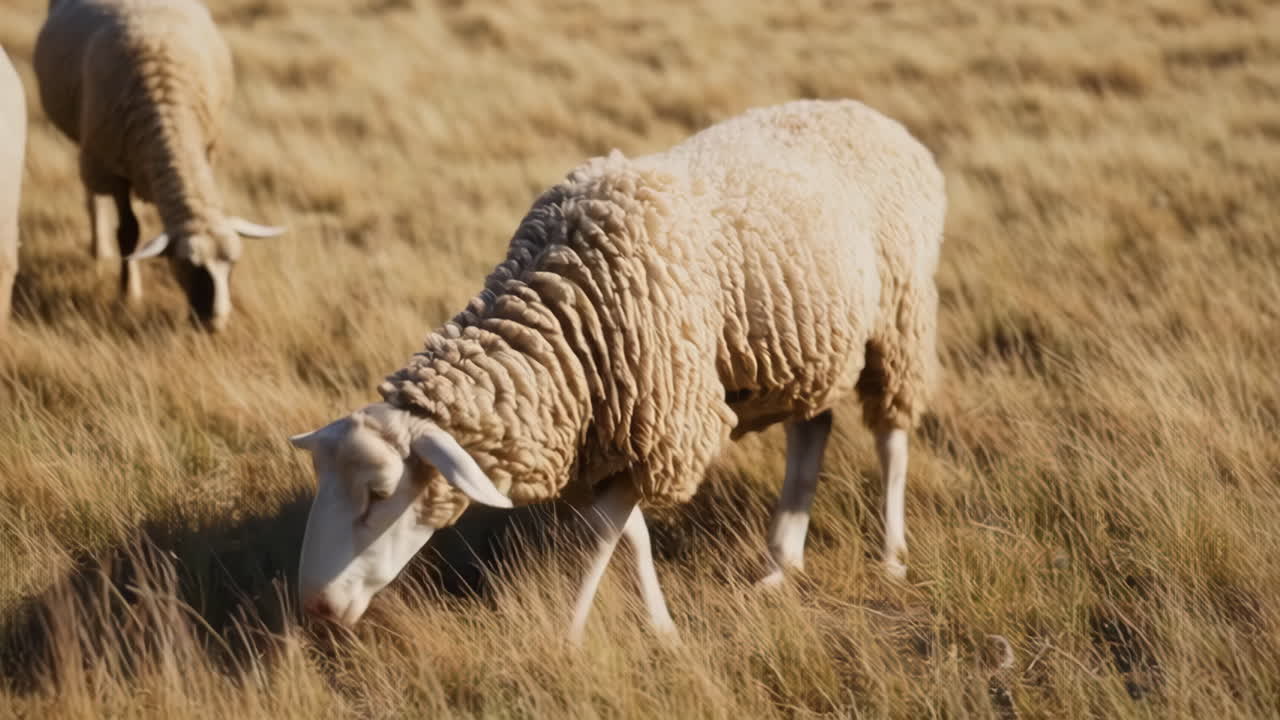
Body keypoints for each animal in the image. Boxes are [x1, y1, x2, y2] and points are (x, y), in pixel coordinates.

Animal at [33, 0, 285, 331]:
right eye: (187, 266)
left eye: (233, 265)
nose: (214, 324)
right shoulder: (114, 170)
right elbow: (128, 232)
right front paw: (129, 294)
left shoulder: (207, 151)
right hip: (88, 143)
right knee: (92, 193)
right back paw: (99, 249)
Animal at [289, 99, 946, 640]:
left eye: (380, 494)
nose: (316, 608)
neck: (561, 306)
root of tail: (875, 117)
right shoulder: (611, 432)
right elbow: (632, 535)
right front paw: (660, 627)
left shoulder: (662, 425)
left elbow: (603, 534)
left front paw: (569, 636)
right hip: (814, 349)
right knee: (812, 431)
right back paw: (780, 563)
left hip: (900, 320)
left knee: (891, 436)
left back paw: (890, 555)